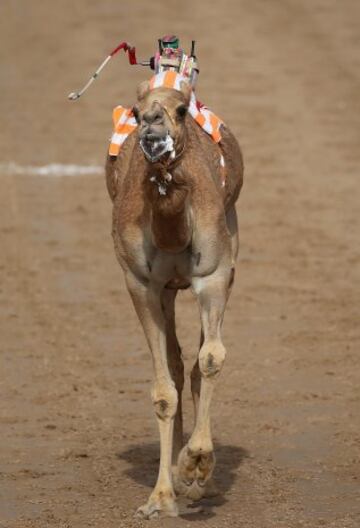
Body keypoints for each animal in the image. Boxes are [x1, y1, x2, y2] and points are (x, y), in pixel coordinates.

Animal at [105, 72, 243, 516]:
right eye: (135, 111)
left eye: (181, 109)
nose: (152, 126)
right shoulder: (141, 285)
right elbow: (164, 389)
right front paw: (161, 496)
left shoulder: (215, 276)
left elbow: (212, 359)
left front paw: (196, 463)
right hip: (166, 293)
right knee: (177, 366)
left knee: (197, 364)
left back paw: (200, 480)